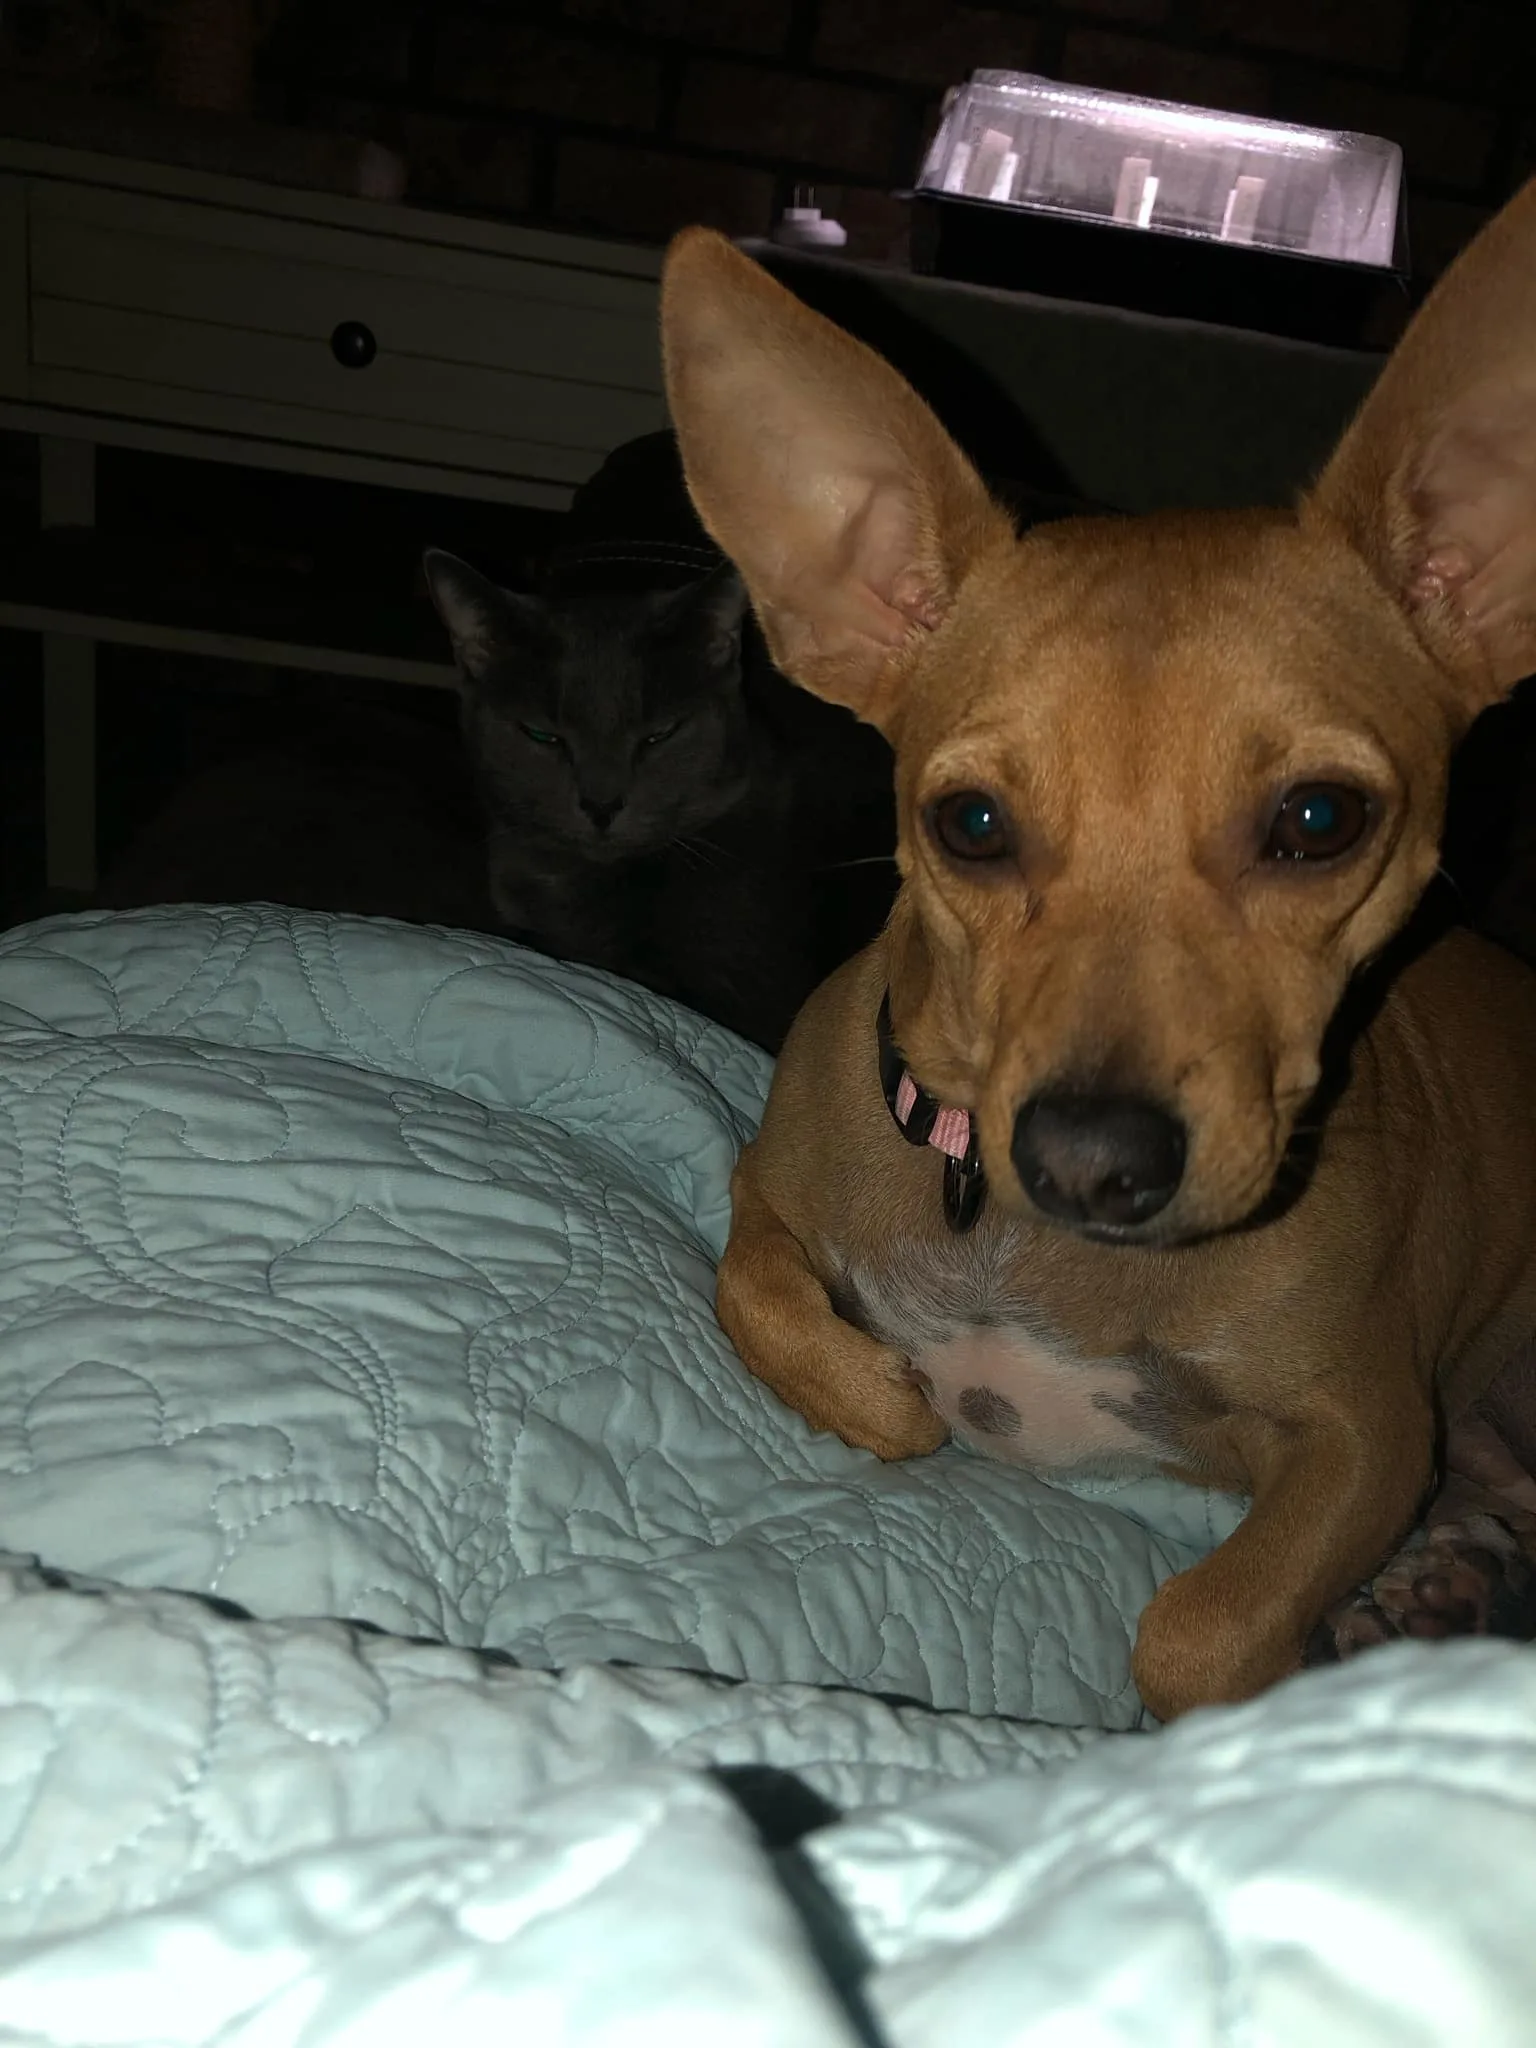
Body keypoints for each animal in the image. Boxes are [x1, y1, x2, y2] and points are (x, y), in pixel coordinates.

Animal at [659, 184, 1536, 1721]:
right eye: (970, 823)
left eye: (1319, 819)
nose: (1090, 1160)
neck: (1026, 1243)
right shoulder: (766, 1188)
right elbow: (755, 1289)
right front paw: (885, 1395)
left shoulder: (1366, 1434)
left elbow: (1198, 1626)